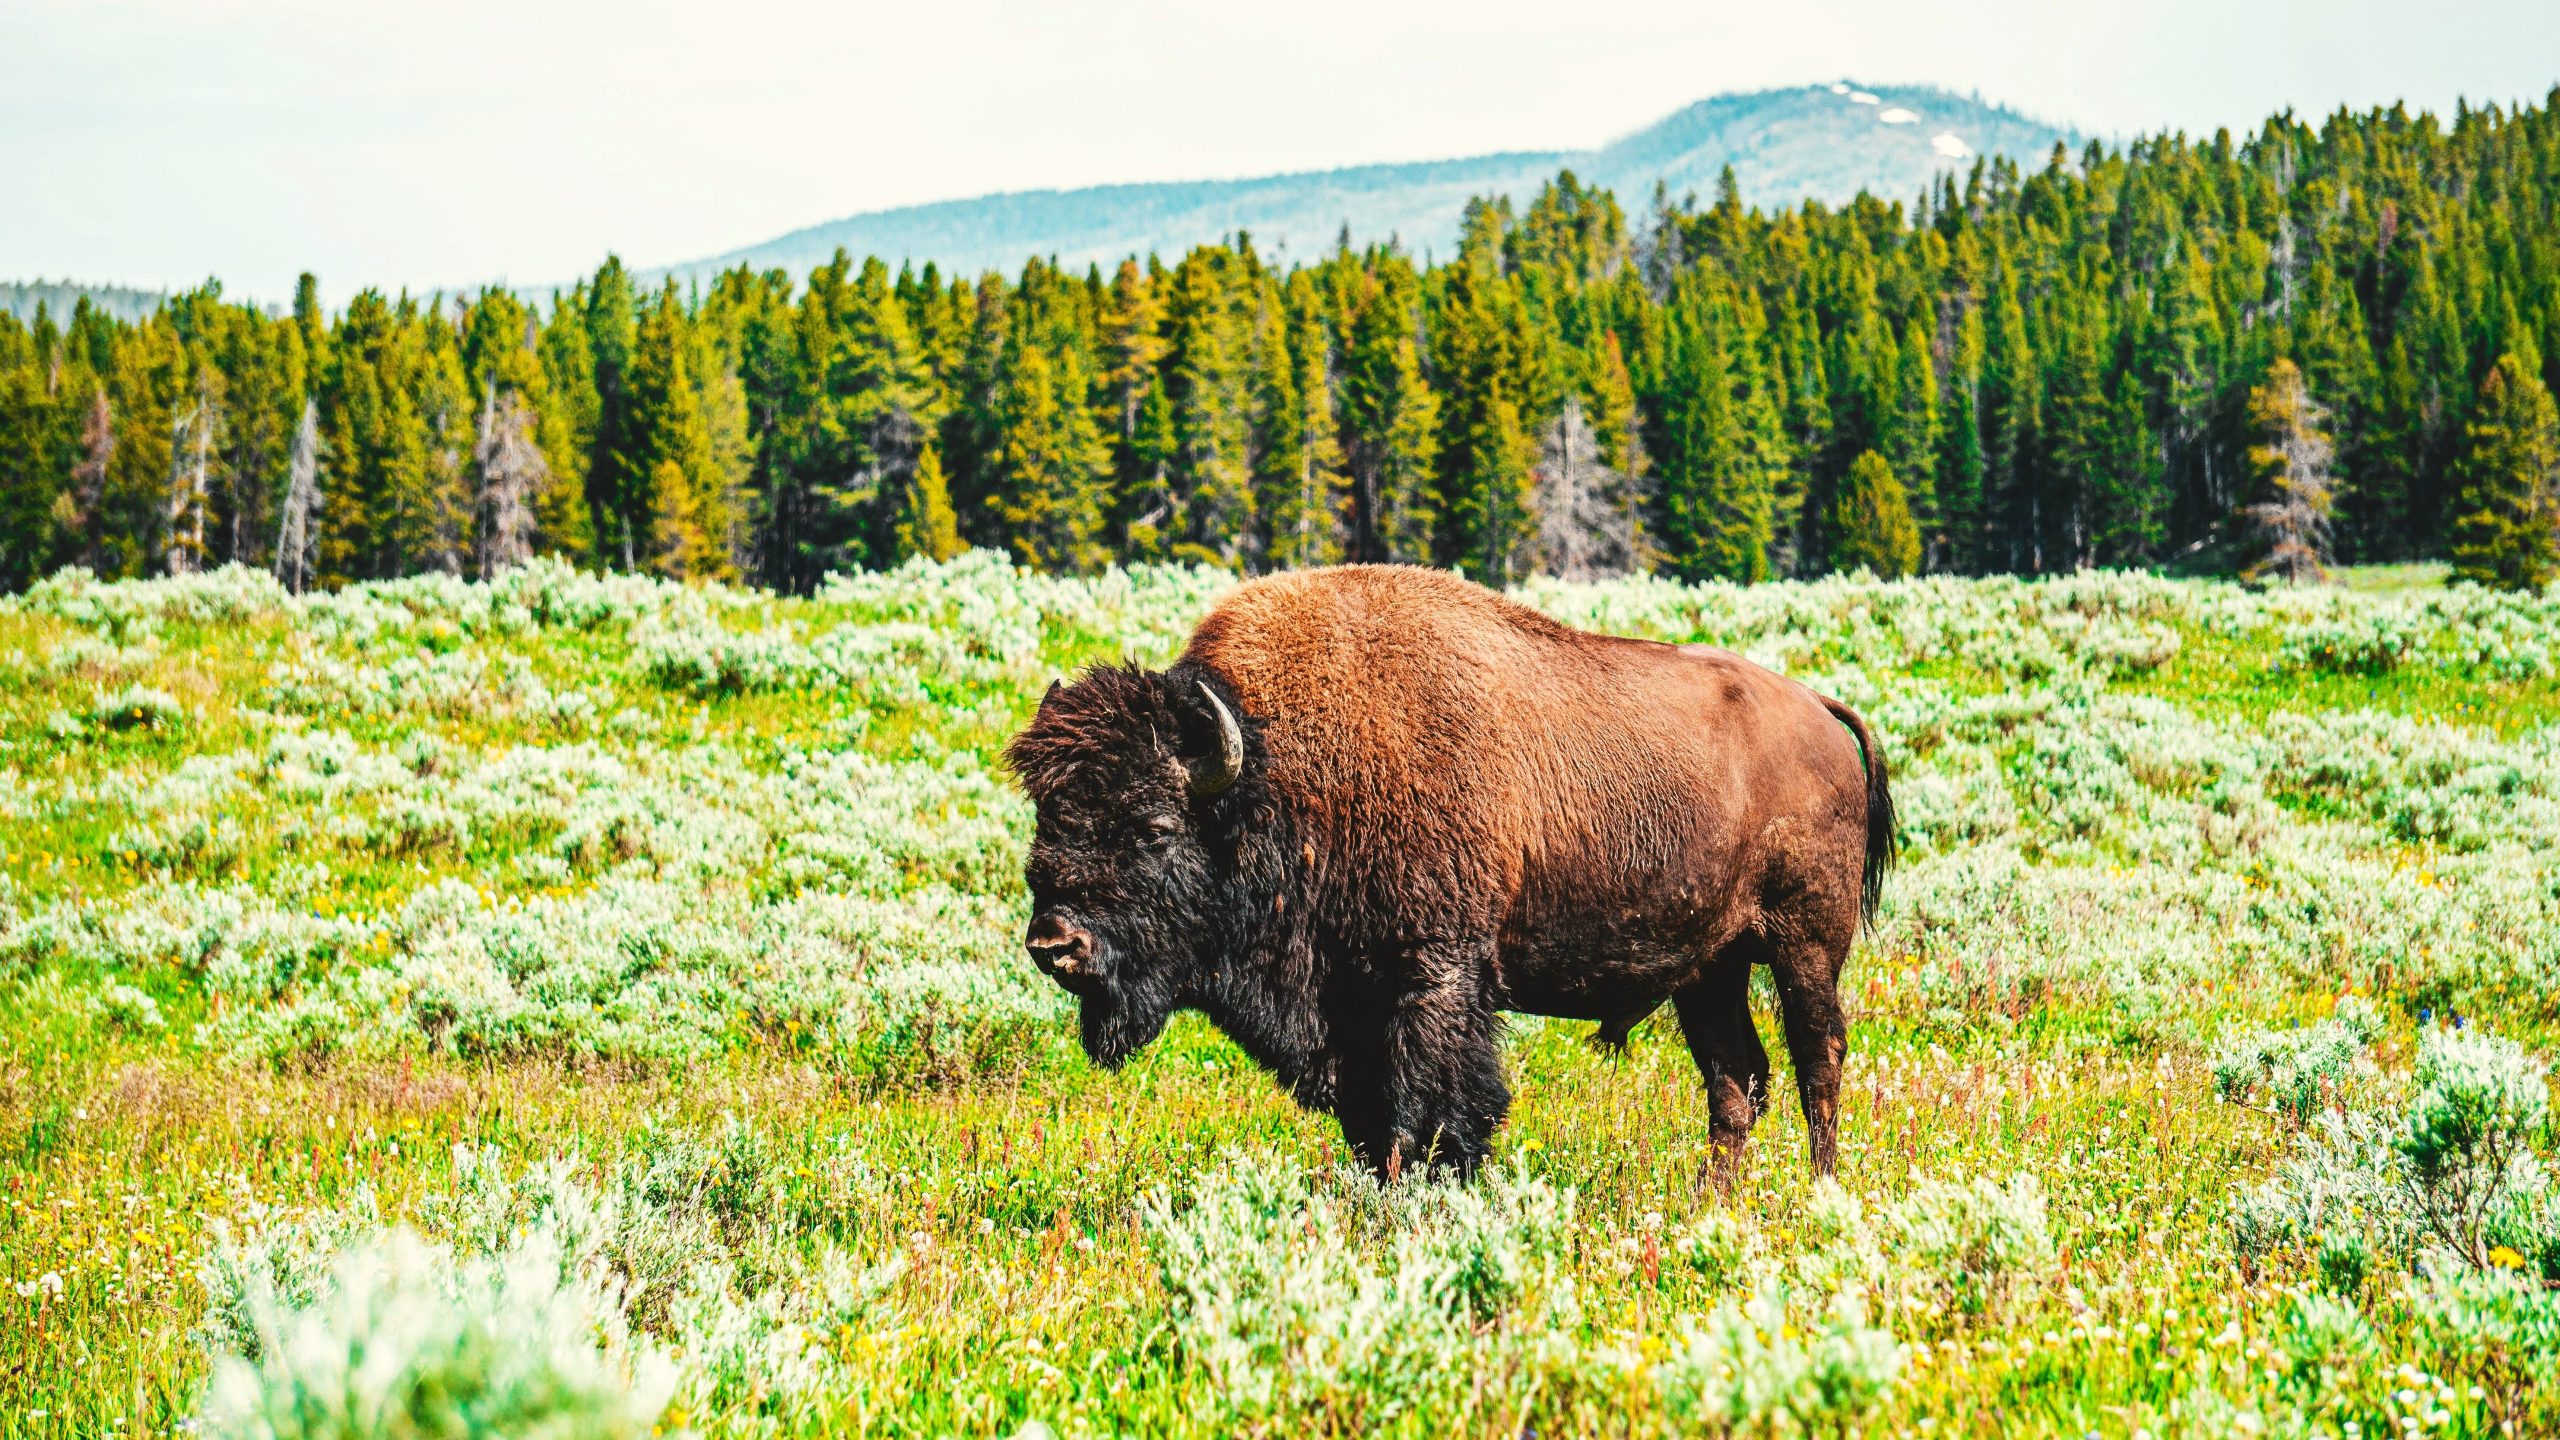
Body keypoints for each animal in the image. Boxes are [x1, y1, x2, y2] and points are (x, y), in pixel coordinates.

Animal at [1005, 565, 1892, 1185]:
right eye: (1046, 818)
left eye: (1155, 828)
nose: (1054, 944)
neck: (1276, 773)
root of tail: (1819, 708)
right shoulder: (1354, 1011)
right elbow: (1375, 1124)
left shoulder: (1432, 978)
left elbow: (1433, 1112)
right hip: (1710, 970)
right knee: (1735, 1082)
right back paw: (1713, 1204)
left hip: (1803, 947)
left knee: (1818, 1060)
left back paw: (1819, 1194)